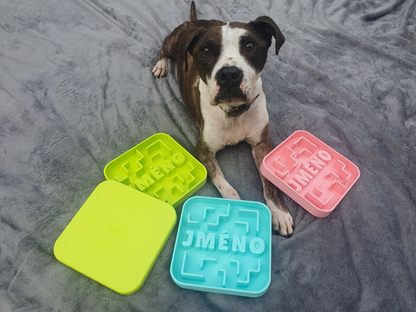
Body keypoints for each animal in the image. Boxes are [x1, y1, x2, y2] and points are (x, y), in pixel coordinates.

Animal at [152, 1, 292, 236]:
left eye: (250, 46)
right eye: (206, 50)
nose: (228, 75)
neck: (234, 112)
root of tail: (195, 21)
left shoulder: (261, 144)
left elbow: (269, 183)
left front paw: (280, 213)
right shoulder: (203, 151)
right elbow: (228, 188)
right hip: (173, 42)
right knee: (163, 48)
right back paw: (161, 65)